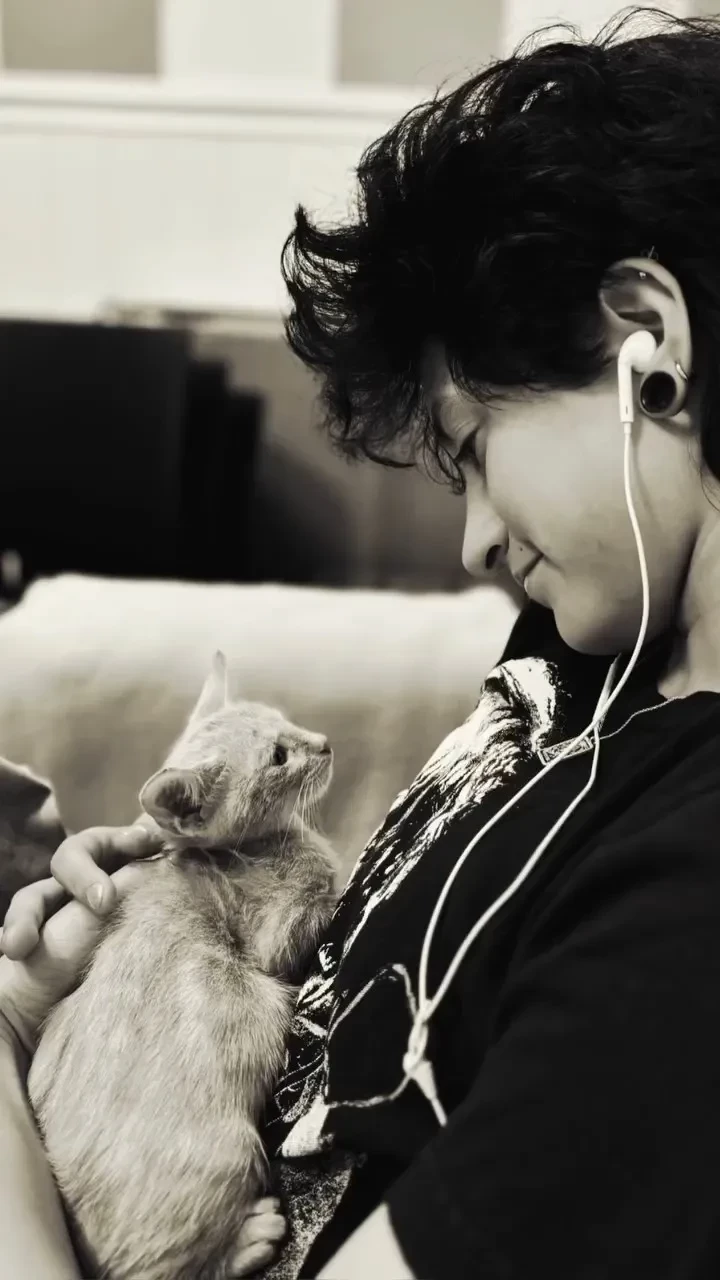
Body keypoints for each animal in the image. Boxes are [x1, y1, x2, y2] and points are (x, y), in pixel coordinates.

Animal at [27, 651, 341, 1280]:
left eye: (285, 721)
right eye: (279, 757)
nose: (323, 744)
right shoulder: (280, 928)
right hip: (229, 1155)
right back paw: (254, 1237)